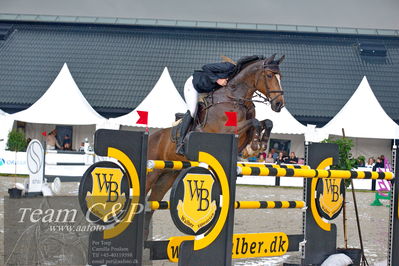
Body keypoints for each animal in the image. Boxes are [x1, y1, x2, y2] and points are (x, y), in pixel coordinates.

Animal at [145, 54, 286, 237]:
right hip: (151, 173)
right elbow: (254, 122)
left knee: (150, 205)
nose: (279, 104)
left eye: (280, 77)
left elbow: (266, 122)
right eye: (269, 75)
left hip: (167, 176)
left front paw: (257, 145)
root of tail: (151, 137)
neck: (235, 97)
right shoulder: (227, 130)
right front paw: (256, 145)